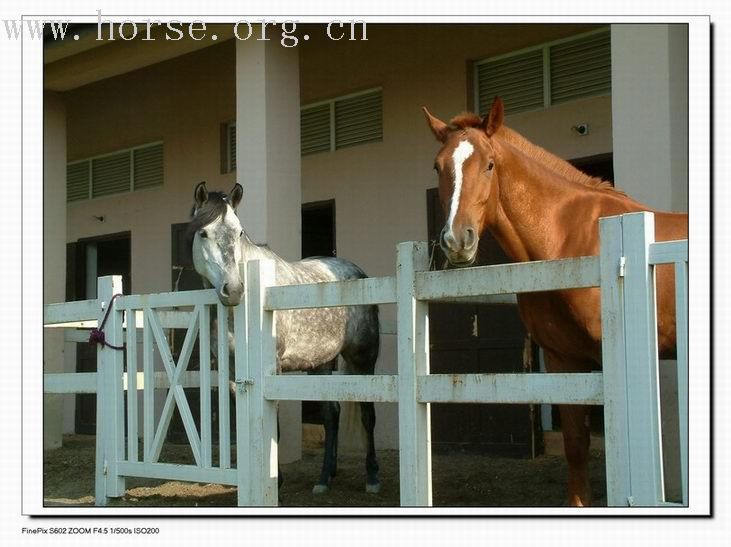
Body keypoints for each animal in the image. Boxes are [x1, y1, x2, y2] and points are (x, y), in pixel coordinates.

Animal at [189, 182, 384, 494]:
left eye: (239, 232)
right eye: (203, 232)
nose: (233, 289)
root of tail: (358, 273)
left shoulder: (273, 370)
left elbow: (274, 429)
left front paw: (275, 481)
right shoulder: (232, 375)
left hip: (363, 359)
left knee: (367, 414)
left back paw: (373, 477)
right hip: (321, 364)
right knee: (331, 415)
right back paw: (324, 478)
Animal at [426, 96, 688, 508]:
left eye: (489, 164)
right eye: (438, 166)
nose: (457, 241)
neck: (570, 240)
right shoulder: (564, 359)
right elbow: (576, 445)